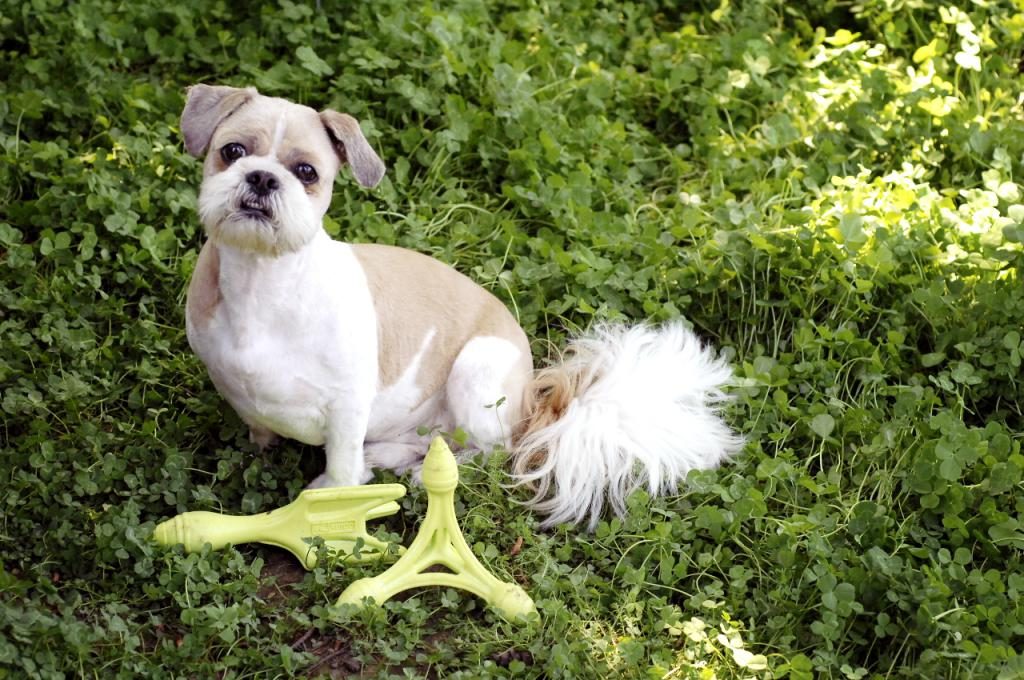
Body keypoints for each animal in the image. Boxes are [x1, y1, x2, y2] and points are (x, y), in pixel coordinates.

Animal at [184, 85, 741, 528]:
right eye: (232, 151)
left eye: (306, 172)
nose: (262, 178)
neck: (264, 282)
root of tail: (533, 402)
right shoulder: (232, 382)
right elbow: (260, 428)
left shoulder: (347, 405)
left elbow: (341, 467)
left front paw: (331, 506)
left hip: (477, 369)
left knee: (489, 452)